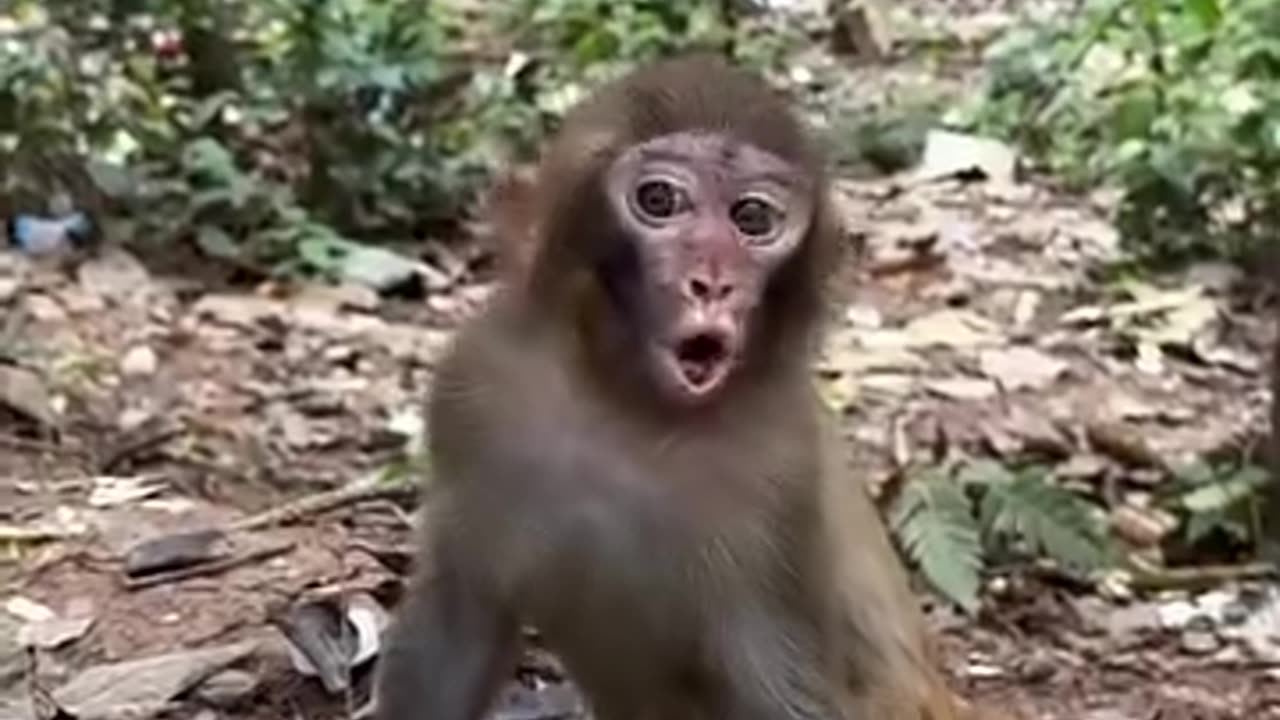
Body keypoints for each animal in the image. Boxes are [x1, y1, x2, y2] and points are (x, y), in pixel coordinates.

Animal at [375, 55, 998, 720]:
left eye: (753, 218)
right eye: (660, 200)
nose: (714, 282)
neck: (623, 407)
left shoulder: (782, 472)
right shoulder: (478, 387)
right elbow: (459, 620)